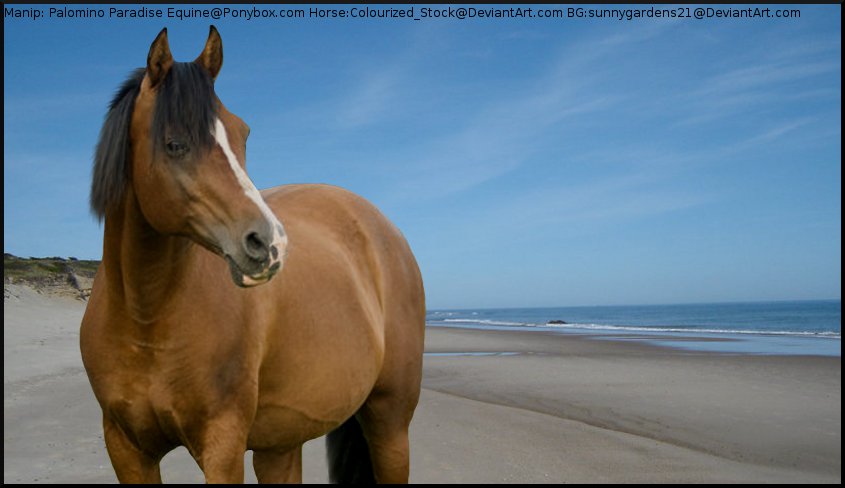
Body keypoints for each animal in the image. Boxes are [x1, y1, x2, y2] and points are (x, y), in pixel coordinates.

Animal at [80, 26, 426, 484]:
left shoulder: (222, 448)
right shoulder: (126, 448)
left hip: (390, 425)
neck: (146, 321)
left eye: (241, 133)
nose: (271, 243)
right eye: (174, 143)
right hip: (280, 444)